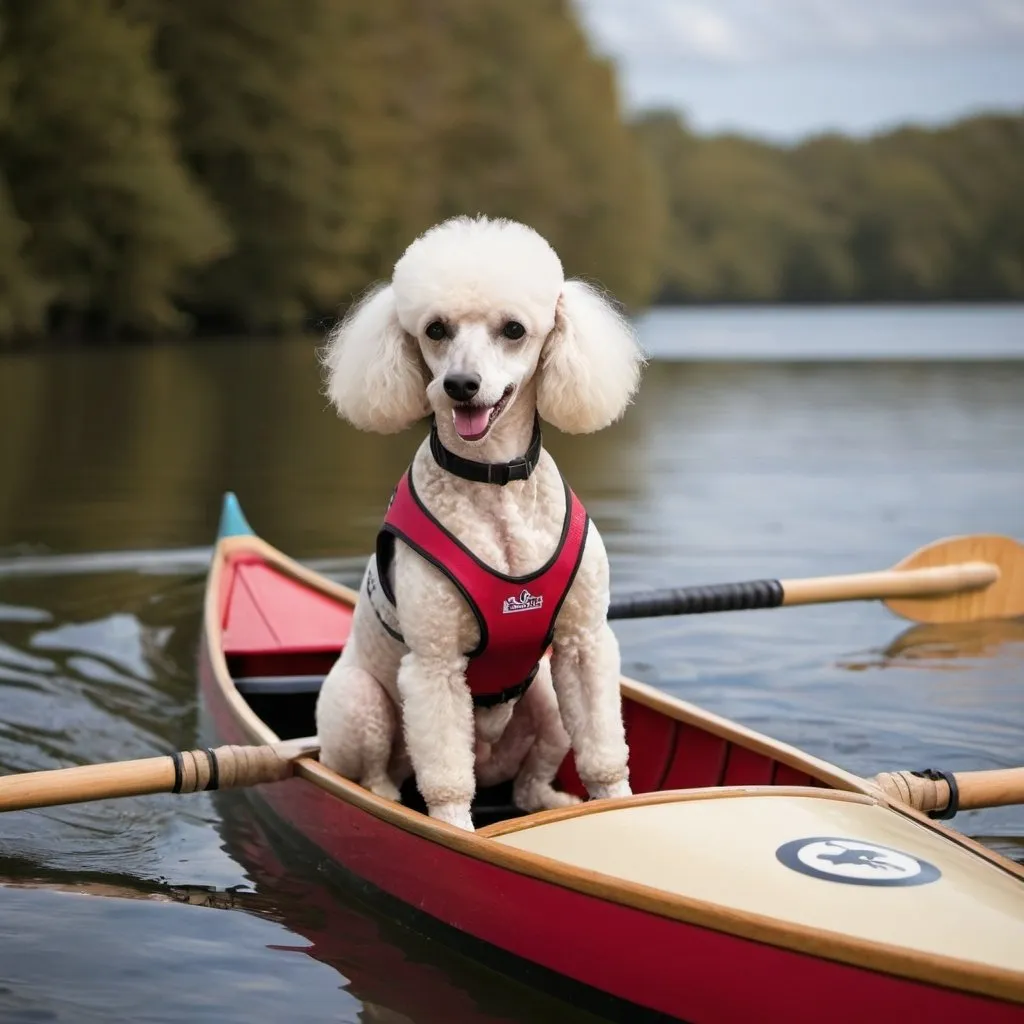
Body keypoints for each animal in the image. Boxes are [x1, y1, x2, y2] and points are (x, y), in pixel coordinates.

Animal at [315, 216, 643, 831]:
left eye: (514, 330)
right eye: (435, 329)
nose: (461, 385)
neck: (494, 484)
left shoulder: (583, 645)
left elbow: (605, 756)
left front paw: (622, 807)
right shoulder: (435, 665)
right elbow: (447, 781)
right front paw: (454, 830)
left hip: (546, 702)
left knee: (528, 788)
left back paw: (553, 802)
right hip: (360, 706)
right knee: (379, 777)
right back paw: (389, 799)